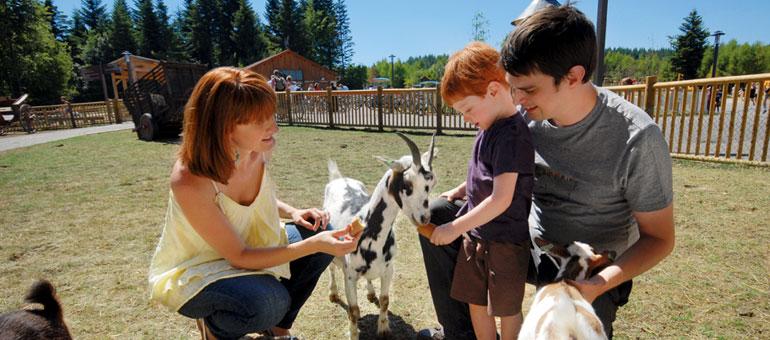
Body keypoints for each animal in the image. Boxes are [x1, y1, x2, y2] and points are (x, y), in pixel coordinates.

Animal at [320, 133, 436, 340]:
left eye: (430, 185)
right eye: (407, 184)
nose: (424, 218)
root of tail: (340, 179)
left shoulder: (388, 270)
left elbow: (385, 301)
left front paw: (383, 329)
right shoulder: (350, 276)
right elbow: (354, 311)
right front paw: (354, 334)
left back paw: (370, 292)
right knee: (332, 268)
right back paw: (333, 293)